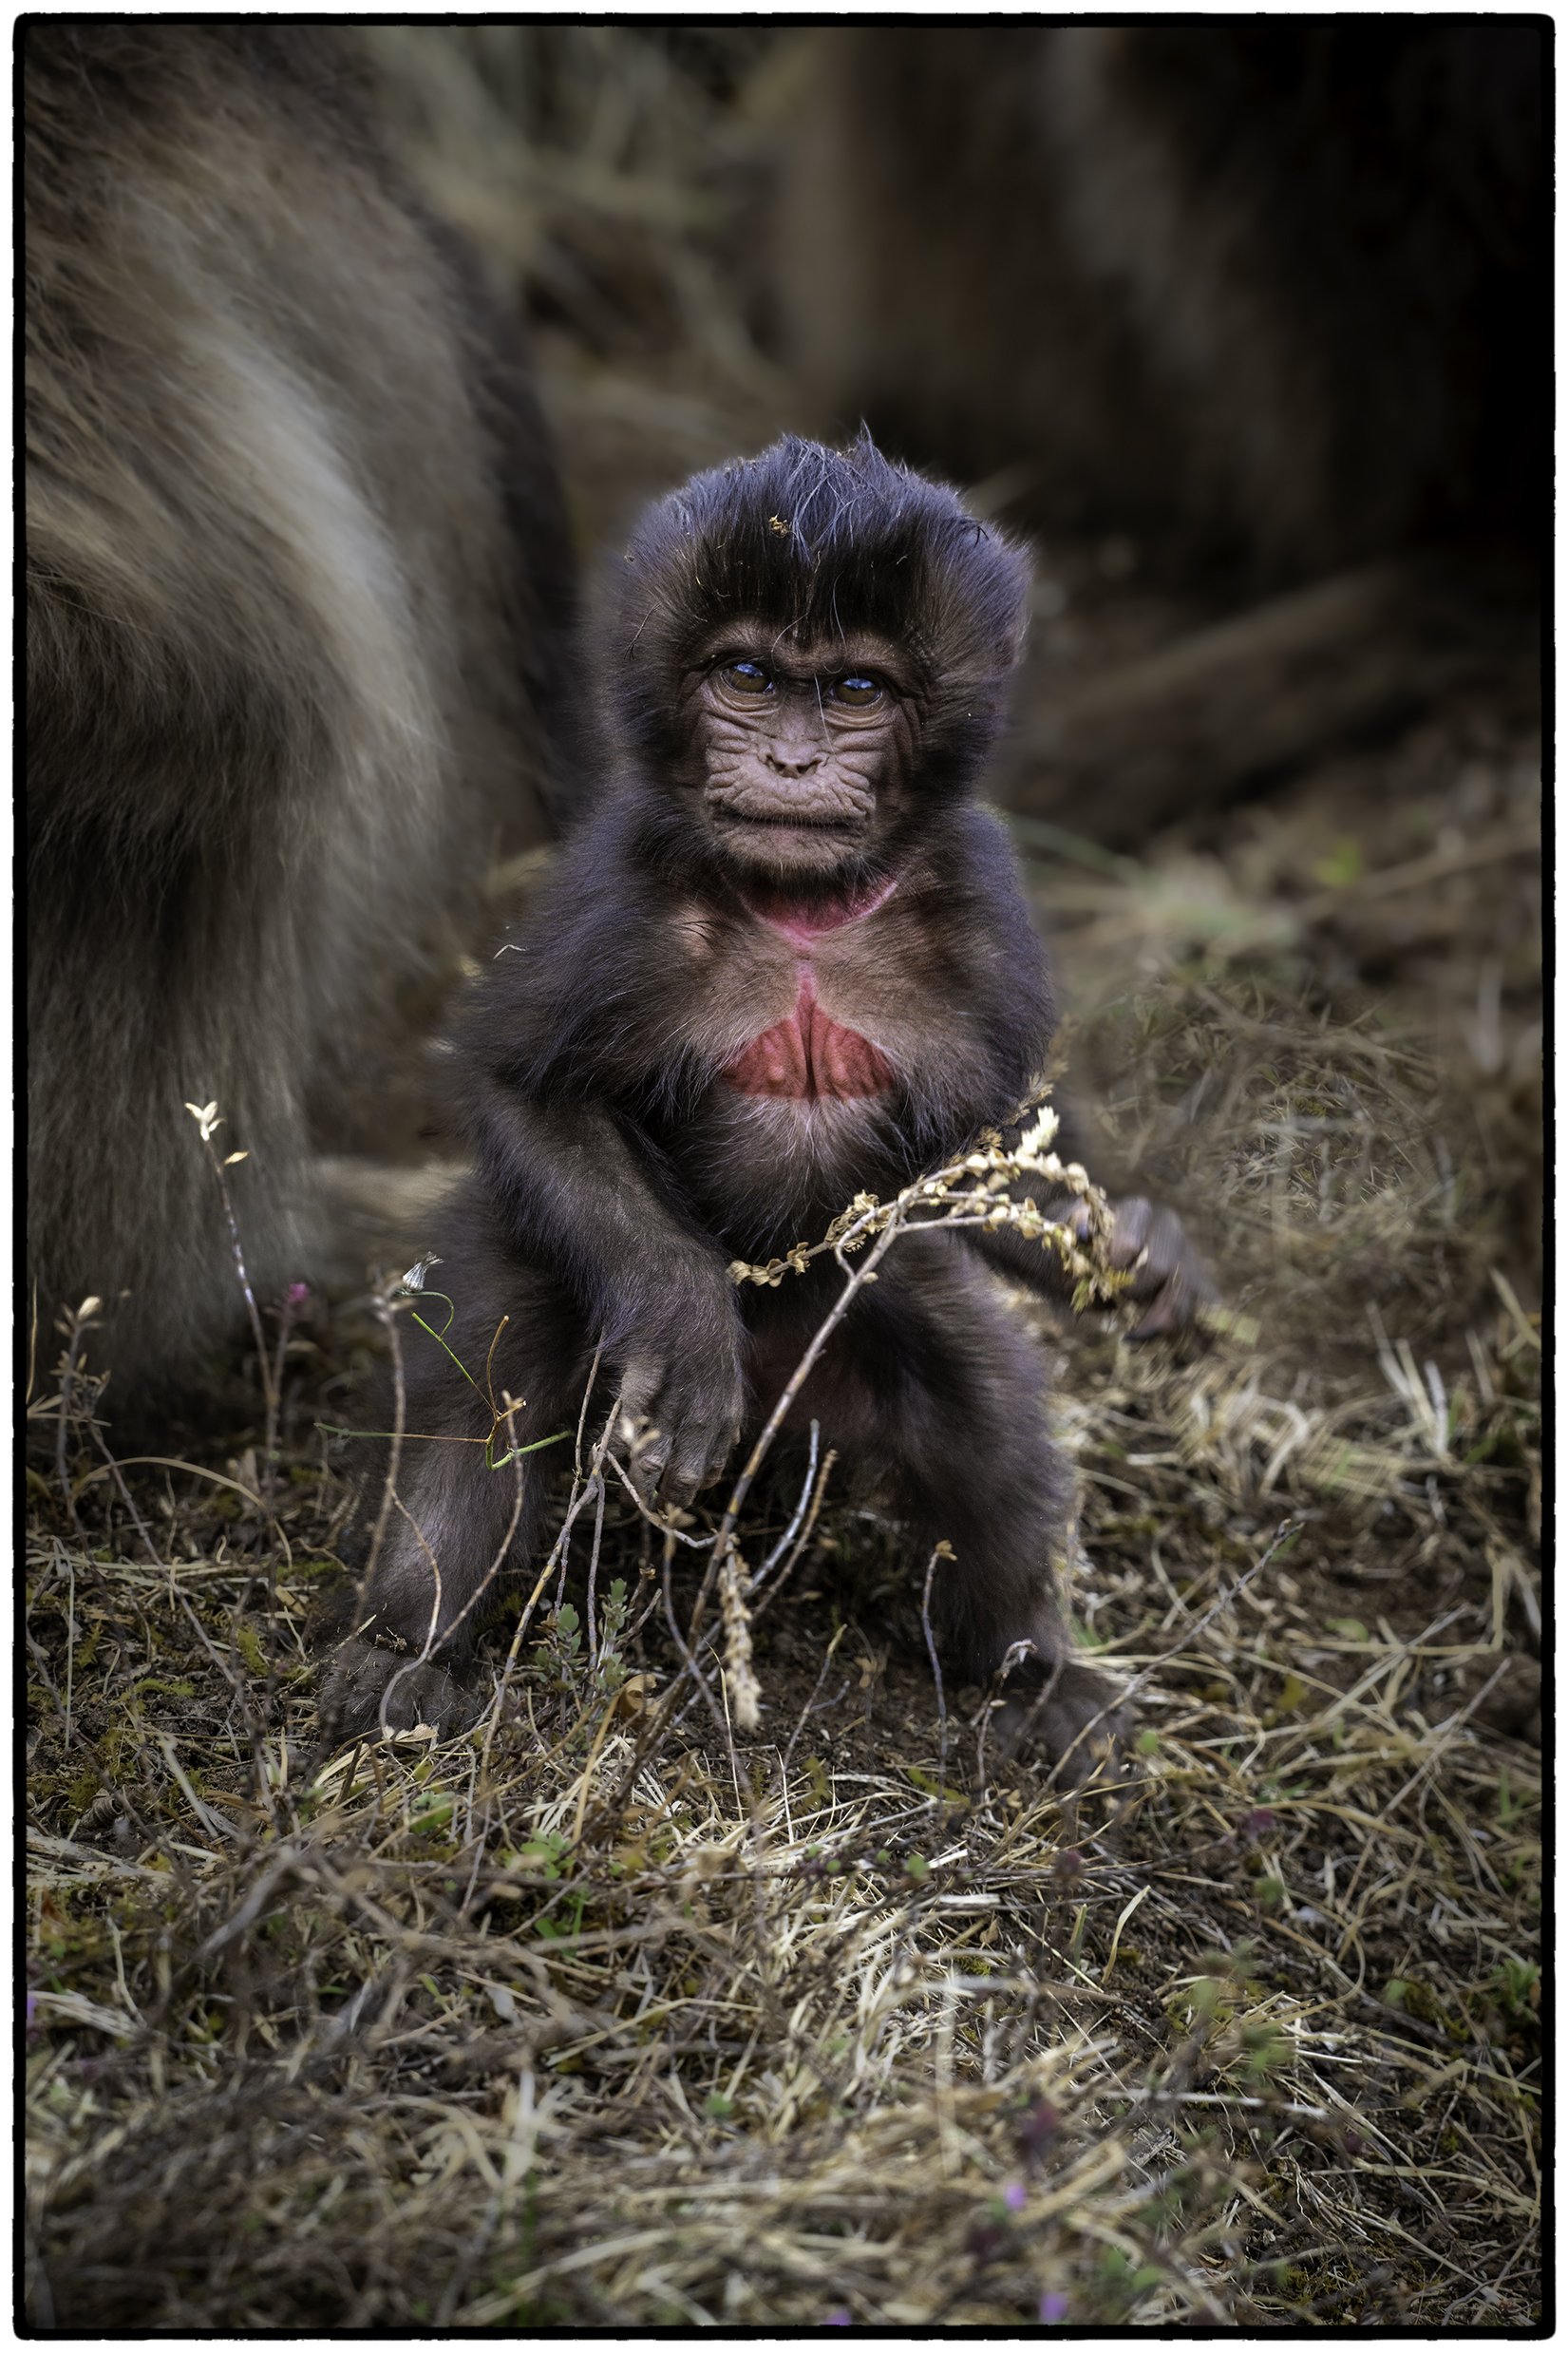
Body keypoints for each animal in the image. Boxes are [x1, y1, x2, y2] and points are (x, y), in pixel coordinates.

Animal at [321, 434, 1215, 1774]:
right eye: (746, 674)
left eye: (853, 690)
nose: (791, 762)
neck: (802, 913)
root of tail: (783, 1426)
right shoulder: (618, 882)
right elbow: (525, 1090)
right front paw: (685, 1317)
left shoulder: (983, 893)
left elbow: (995, 1145)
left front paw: (1133, 1246)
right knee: (495, 1379)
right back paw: (404, 1641)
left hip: (847, 1325)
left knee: (979, 1403)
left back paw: (1028, 1672)